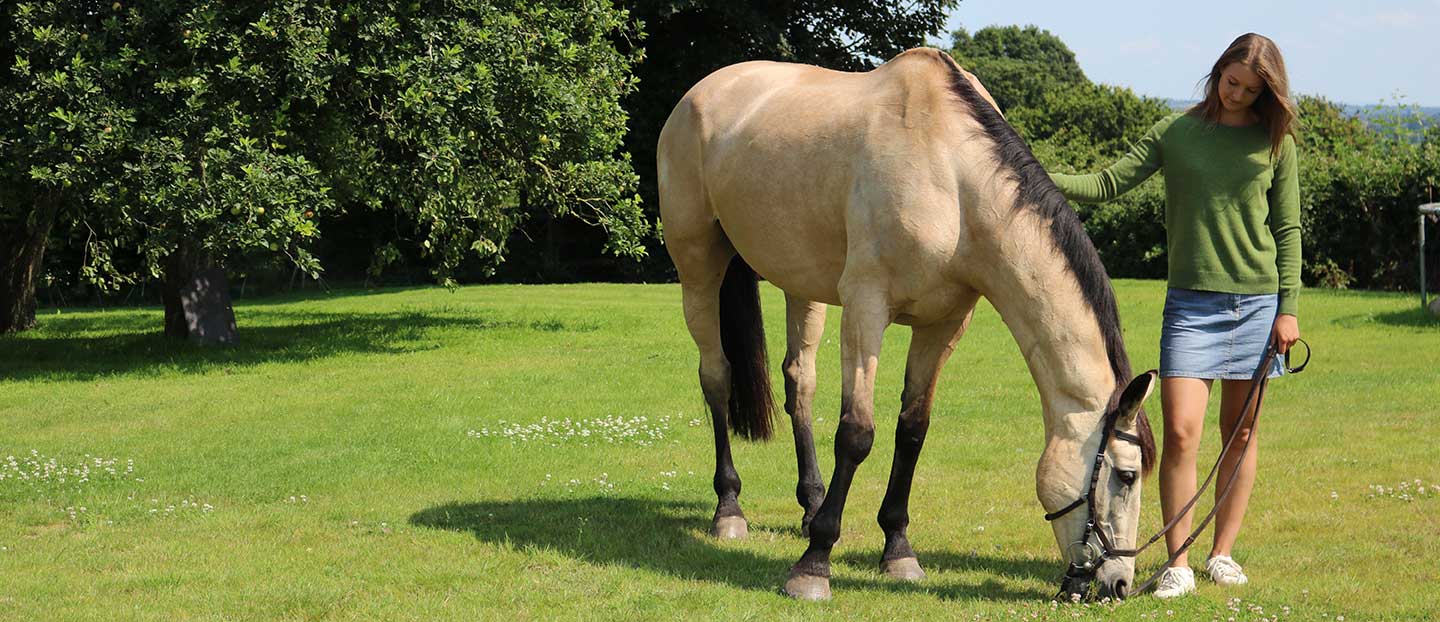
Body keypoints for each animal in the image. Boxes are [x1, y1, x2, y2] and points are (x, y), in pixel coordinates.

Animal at [659, 46, 1152, 598]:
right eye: (1127, 476)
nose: (1118, 583)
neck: (950, 176)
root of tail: (702, 92)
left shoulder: (943, 324)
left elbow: (912, 431)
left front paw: (897, 550)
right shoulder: (865, 308)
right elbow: (856, 434)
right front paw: (814, 565)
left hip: (800, 283)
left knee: (799, 382)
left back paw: (811, 505)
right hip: (698, 264)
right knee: (716, 377)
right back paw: (730, 509)